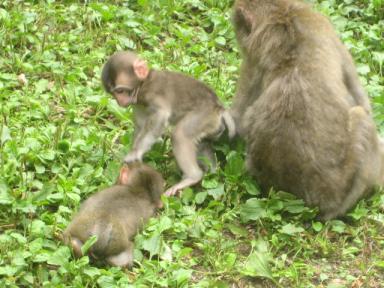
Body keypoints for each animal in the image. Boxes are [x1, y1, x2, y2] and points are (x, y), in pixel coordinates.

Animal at [100, 51, 236, 196]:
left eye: (120, 91)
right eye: (113, 94)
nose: (120, 102)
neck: (144, 83)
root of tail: (219, 108)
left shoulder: (151, 92)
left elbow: (161, 115)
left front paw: (134, 153)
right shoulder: (138, 103)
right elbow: (141, 125)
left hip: (204, 115)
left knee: (180, 135)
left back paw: (193, 177)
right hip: (211, 124)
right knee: (202, 142)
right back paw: (210, 171)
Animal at [231, 0, 384, 219]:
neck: (282, 14)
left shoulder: (253, 58)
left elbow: (236, 118)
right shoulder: (323, 26)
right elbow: (362, 101)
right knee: (361, 115)